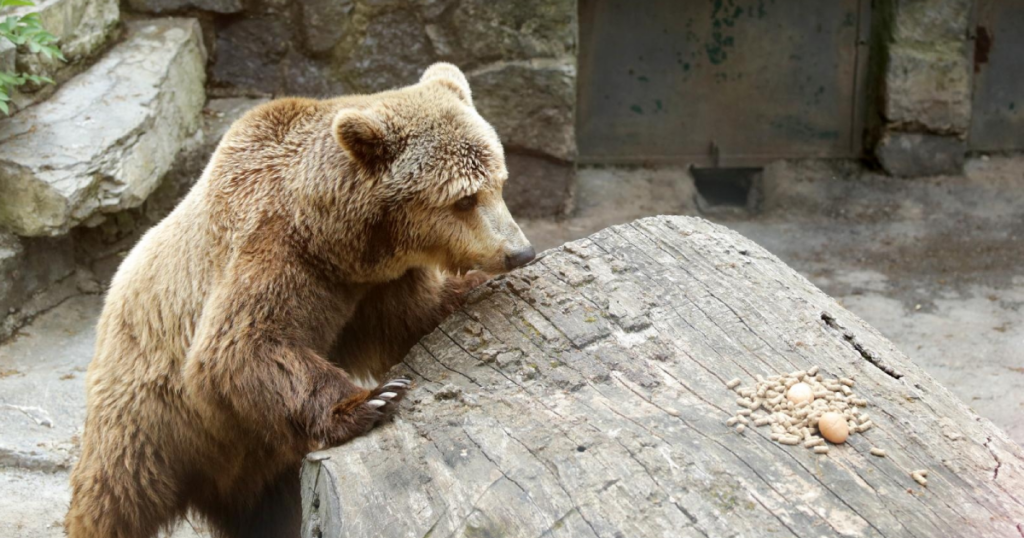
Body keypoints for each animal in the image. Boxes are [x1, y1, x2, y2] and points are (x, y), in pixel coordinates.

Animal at [64, 64, 536, 536]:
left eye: (500, 182)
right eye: (464, 198)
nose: (520, 251)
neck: (336, 241)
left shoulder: (376, 287)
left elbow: (412, 317)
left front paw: (477, 286)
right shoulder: (274, 250)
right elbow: (241, 346)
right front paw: (376, 398)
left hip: (255, 465)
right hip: (146, 415)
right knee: (116, 495)